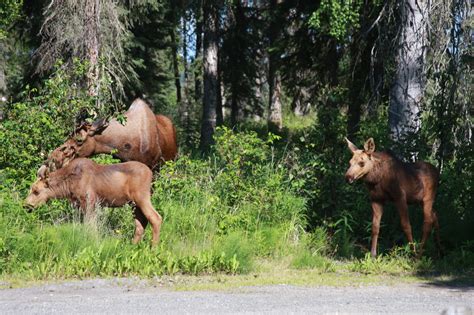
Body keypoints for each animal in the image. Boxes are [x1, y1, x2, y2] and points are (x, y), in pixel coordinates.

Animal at [25, 158, 163, 247]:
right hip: (133, 204)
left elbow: (90, 226)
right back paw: (132, 247)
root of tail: (151, 173)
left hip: (142, 197)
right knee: (140, 224)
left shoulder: (89, 201)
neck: (67, 186)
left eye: (36, 191)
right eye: (31, 188)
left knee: (156, 218)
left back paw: (153, 248)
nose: (26, 205)